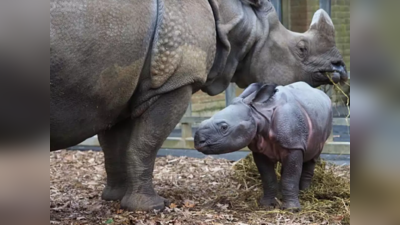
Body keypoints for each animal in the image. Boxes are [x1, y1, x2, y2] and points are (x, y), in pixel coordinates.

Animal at [194, 81, 332, 212]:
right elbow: (268, 178)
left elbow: (290, 177)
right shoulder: (259, 149)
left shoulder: (294, 144)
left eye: (224, 127)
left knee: (312, 156)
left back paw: (305, 192)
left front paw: (292, 209)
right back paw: (284, 194)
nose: (198, 142)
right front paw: (266, 205)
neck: (257, 113)